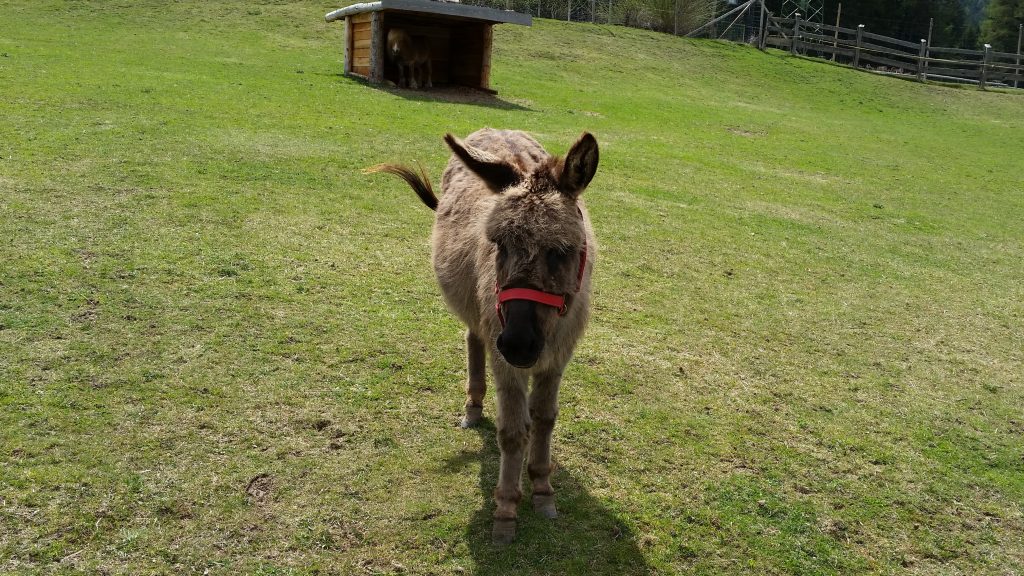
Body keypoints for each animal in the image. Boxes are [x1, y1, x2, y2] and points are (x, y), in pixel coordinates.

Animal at [370, 127, 598, 541]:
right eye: (499, 244)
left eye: (562, 251)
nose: (518, 344)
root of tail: (497, 129)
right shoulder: (505, 353)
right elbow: (512, 432)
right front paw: (506, 509)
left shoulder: (558, 356)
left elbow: (545, 418)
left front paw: (542, 489)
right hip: (481, 315)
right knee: (473, 340)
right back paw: (473, 407)